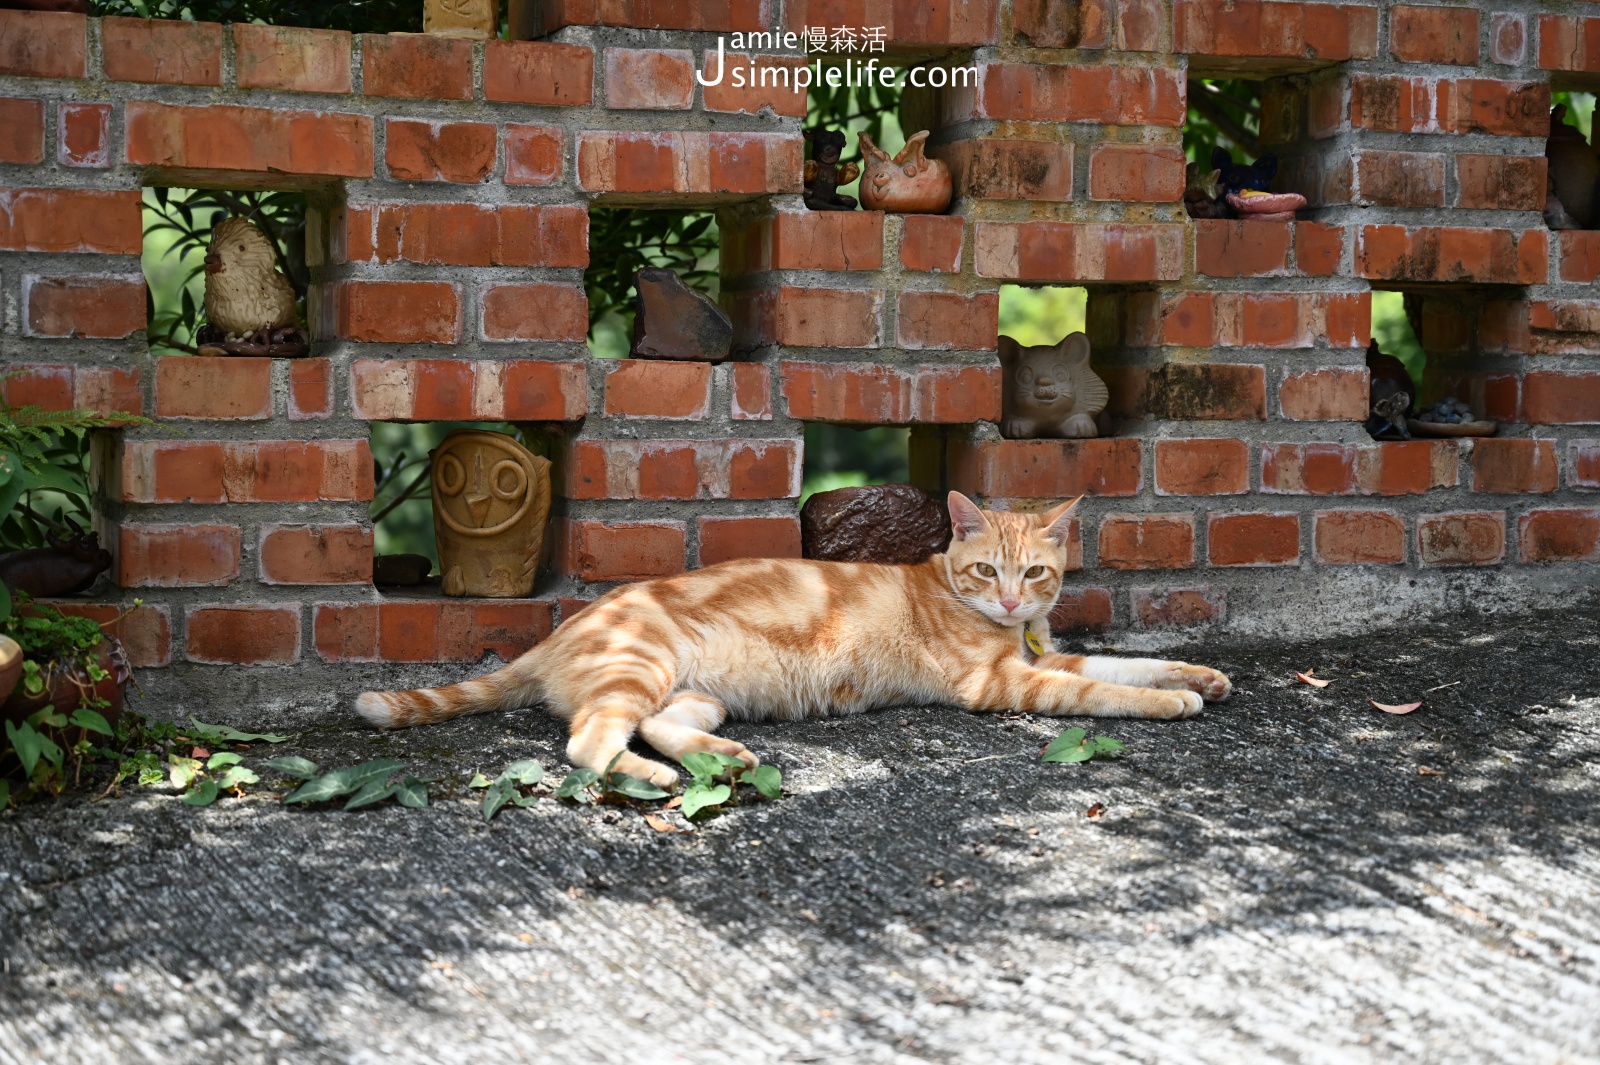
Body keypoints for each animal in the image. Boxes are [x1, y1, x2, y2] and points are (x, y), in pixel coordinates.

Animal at [360, 492, 1235, 783]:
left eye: (1036, 573)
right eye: (987, 569)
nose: (1015, 598)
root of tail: (562, 627)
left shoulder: (1038, 654)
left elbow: (1131, 661)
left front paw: (1201, 674)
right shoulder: (1008, 683)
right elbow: (1104, 688)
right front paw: (1176, 702)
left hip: (699, 695)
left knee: (656, 725)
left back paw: (724, 758)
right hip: (640, 664)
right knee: (591, 744)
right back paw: (657, 778)